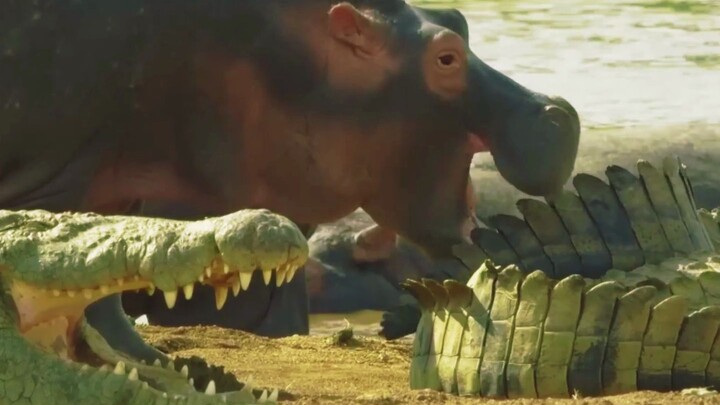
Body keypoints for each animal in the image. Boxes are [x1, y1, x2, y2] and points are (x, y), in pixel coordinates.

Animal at [0, 0, 580, 362]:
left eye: (455, 15)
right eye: (446, 56)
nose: (558, 109)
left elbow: (103, 296)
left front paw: (139, 357)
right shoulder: (66, 190)